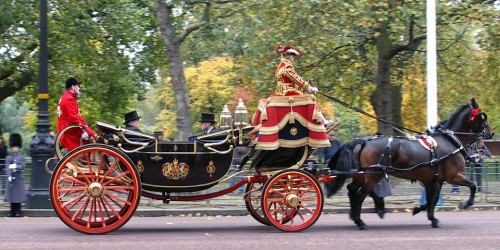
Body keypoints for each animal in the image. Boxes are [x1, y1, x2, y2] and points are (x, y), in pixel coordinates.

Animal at [324, 97, 492, 229]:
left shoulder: (433, 180)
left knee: (352, 190)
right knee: (360, 194)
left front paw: (423, 212)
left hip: (363, 174)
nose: (490, 134)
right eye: (483, 118)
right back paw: (361, 221)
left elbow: (432, 199)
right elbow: (471, 186)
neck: (449, 140)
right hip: (373, 175)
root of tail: (364, 141)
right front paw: (464, 205)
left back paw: (360, 214)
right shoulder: (452, 176)